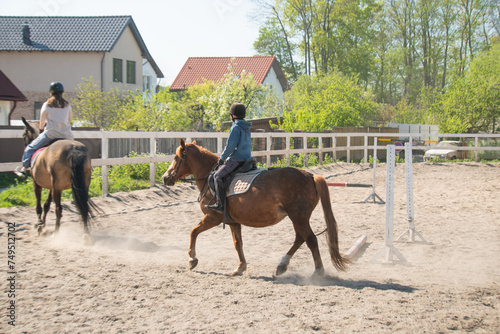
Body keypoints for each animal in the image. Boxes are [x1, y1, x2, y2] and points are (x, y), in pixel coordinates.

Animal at [162, 139, 350, 276]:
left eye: (176, 158)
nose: (165, 178)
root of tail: (310, 175)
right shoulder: (233, 222)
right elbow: (238, 243)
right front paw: (240, 267)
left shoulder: (212, 217)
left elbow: (193, 231)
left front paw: (192, 259)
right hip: (298, 217)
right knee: (300, 238)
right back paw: (282, 266)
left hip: (298, 216)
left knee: (310, 240)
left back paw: (318, 272)